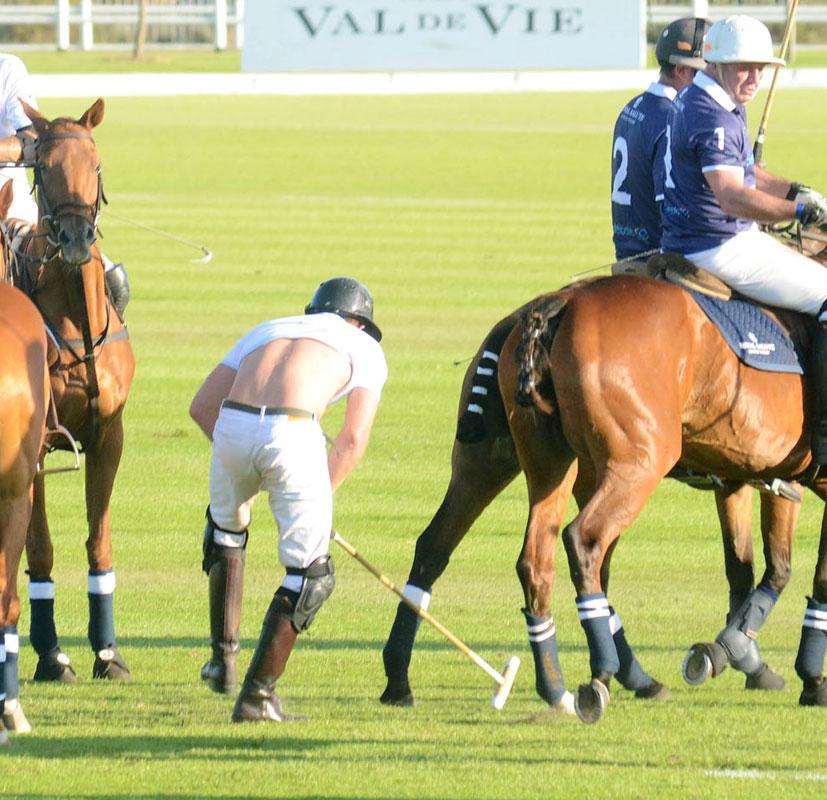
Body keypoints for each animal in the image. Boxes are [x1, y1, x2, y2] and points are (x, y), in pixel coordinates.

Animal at [492, 272, 827, 720]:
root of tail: (563, 302)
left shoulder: (749, 475)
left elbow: (760, 568)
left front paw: (733, 653)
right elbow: (808, 574)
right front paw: (810, 677)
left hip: (552, 464)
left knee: (539, 561)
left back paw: (557, 685)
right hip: (639, 461)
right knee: (584, 542)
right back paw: (601, 676)